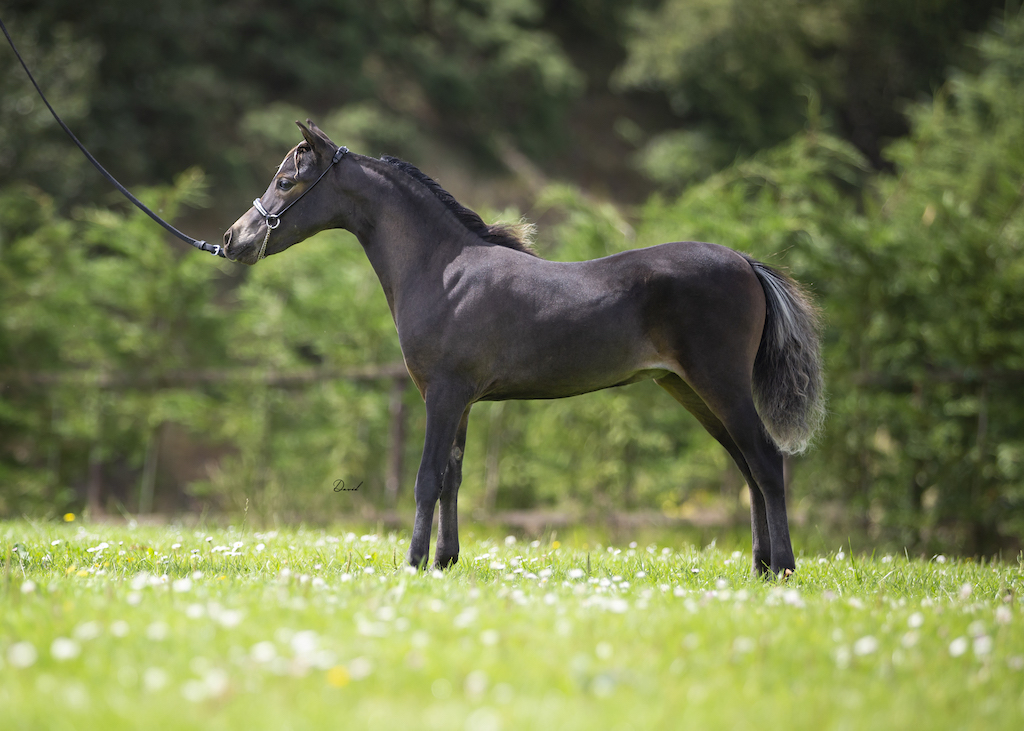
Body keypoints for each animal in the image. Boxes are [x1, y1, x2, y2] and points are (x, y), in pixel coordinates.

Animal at [223, 120, 825, 577]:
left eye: (285, 181)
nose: (233, 239)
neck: (441, 269)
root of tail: (745, 263)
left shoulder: (442, 393)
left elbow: (425, 478)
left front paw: (414, 563)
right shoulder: (461, 400)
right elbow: (451, 477)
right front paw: (444, 561)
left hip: (720, 383)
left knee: (765, 461)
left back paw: (783, 568)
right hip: (689, 389)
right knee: (747, 467)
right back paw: (759, 567)